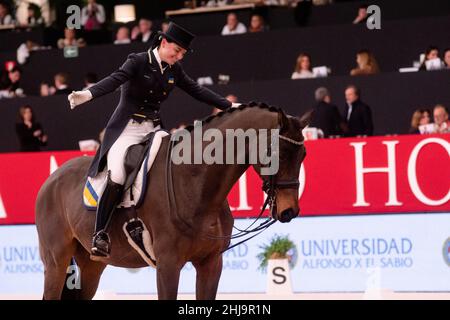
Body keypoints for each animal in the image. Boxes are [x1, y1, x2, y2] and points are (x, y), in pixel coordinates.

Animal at [36, 102, 306, 300]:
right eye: (278, 154)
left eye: (303, 155)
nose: (289, 211)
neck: (196, 182)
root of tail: (52, 179)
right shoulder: (168, 265)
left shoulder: (211, 263)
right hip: (56, 262)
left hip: (92, 264)